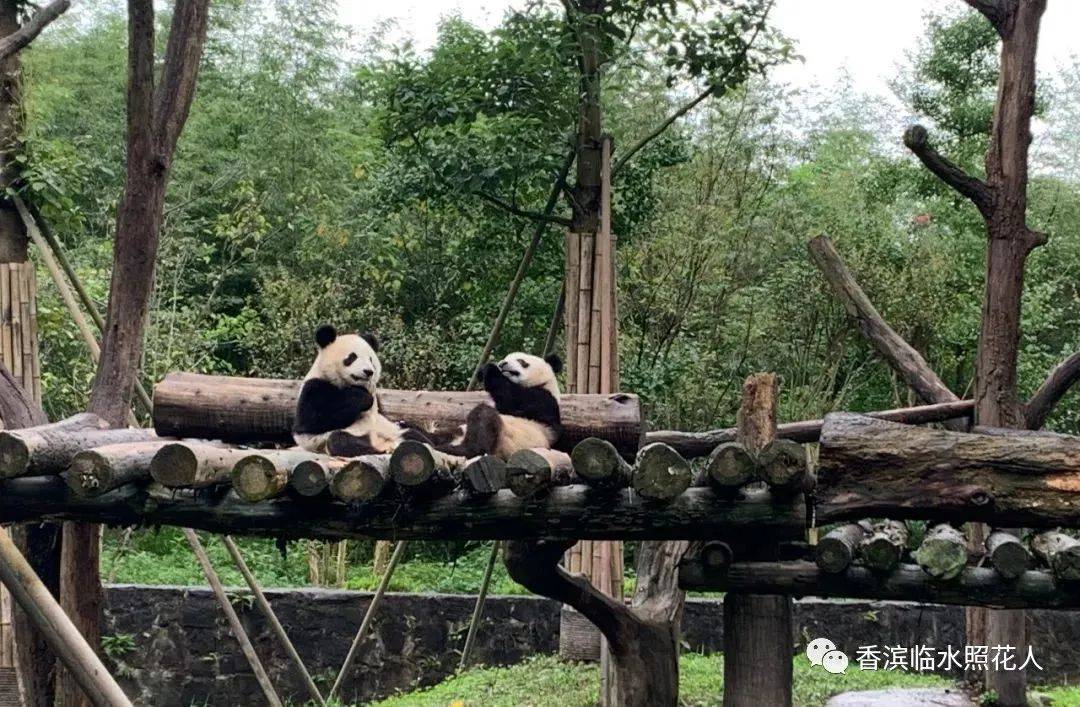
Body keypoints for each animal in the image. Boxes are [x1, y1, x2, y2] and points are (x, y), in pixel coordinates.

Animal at [295, 325, 434, 455]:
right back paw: (380, 450)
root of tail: (380, 442)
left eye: (370, 359)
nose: (368, 371)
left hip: (391, 430)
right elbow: (312, 422)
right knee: (340, 440)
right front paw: (362, 398)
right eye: (351, 357)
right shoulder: (314, 387)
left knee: (412, 433)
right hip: (336, 438)